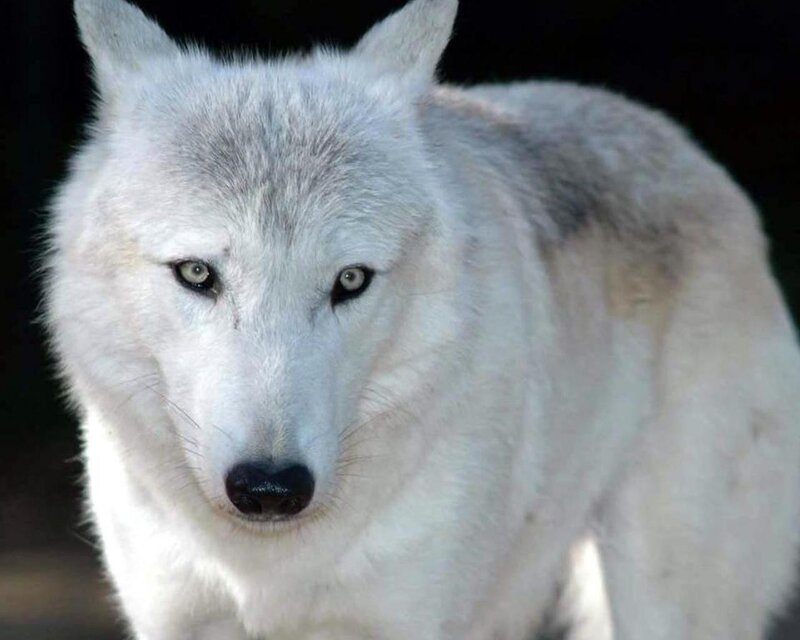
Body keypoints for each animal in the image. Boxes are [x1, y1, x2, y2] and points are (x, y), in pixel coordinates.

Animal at [44, 0, 800, 638]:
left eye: (350, 281)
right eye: (198, 274)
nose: (270, 489)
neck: (267, 567)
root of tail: (689, 153)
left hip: (662, 597)